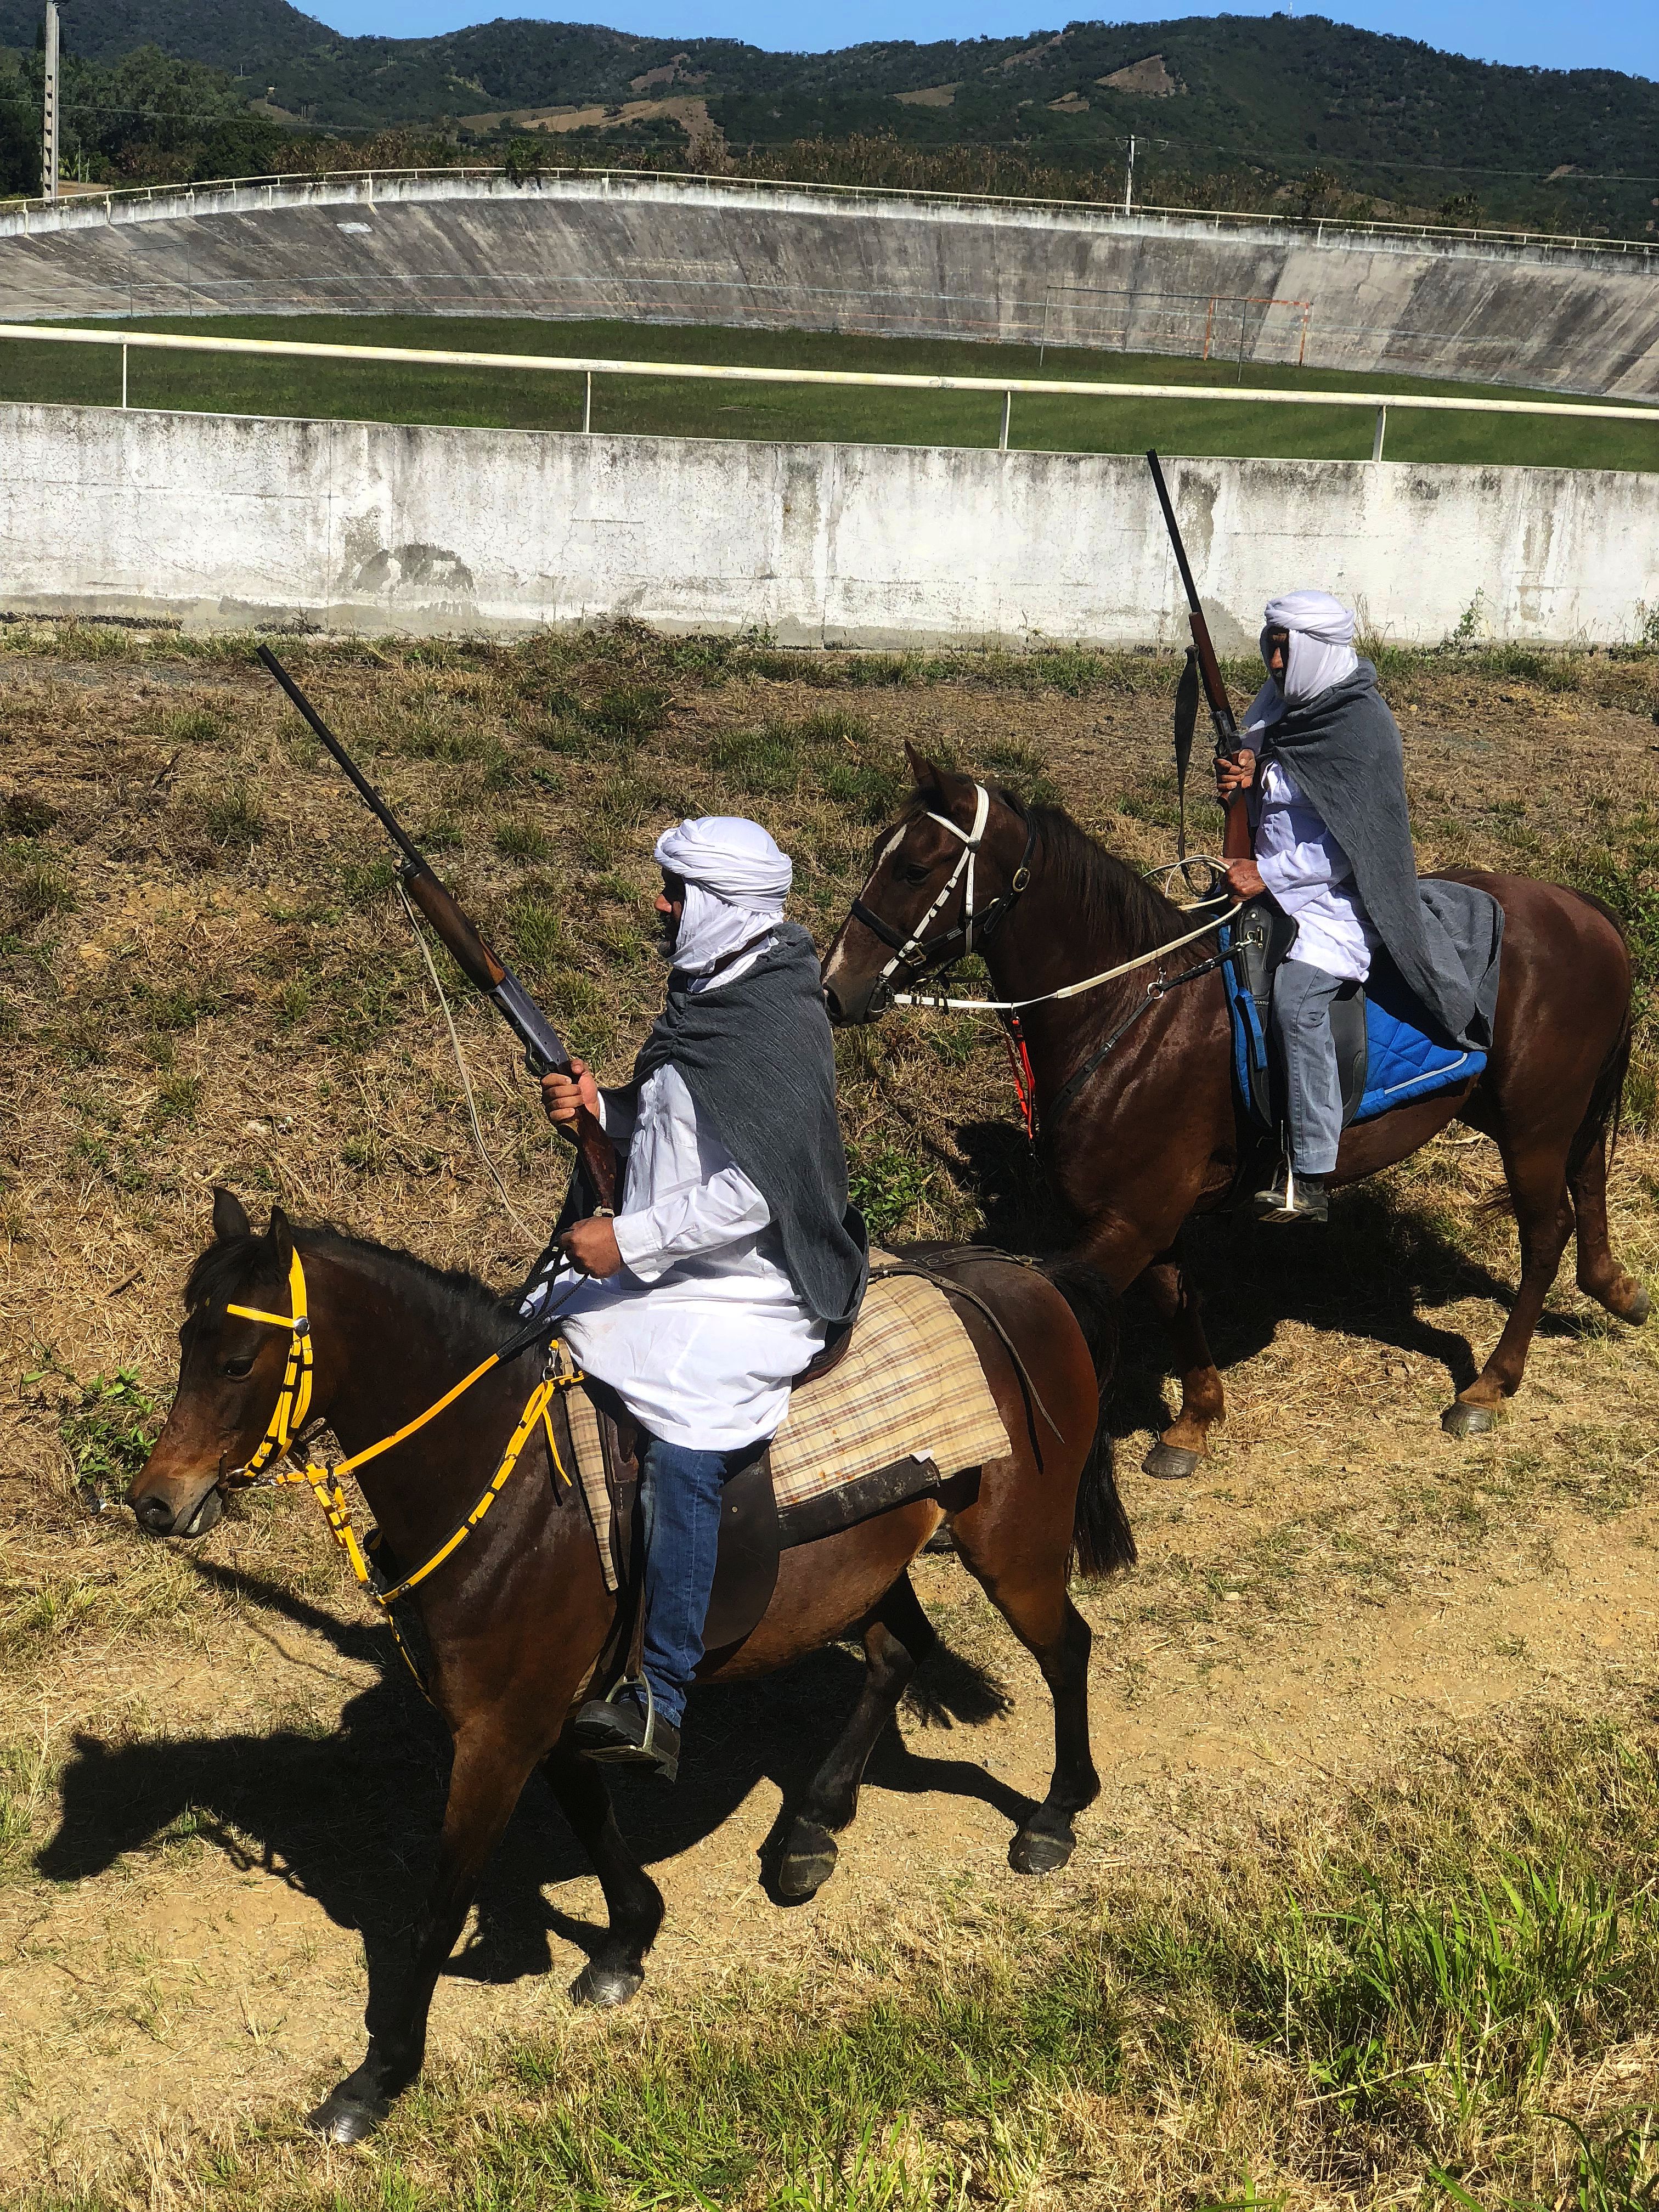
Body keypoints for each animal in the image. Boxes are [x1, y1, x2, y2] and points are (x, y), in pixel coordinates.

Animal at [123, 1194, 1141, 2141]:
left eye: (237, 1362)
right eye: (183, 1344)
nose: (155, 1501)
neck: (513, 1488)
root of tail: (1014, 1275)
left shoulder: (495, 1733)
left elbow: (440, 1903)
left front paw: (378, 2076)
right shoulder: (540, 1712)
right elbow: (587, 1813)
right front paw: (627, 1942)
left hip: (1013, 1544)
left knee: (1065, 1650)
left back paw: (1054, 1815)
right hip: (873, 1562)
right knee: (897, 1653)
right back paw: (811, 1828)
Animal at [822, 752, 1654, 1477]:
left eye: (914, 868)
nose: (834, 987)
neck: (1130, 1010)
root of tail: (1585, 909)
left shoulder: (1130, 1220)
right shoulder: (1141, 1212)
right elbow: (1173, 1299)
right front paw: (1197, 1417)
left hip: (1533, 1123)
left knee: (1546, 1233)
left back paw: (1491, 1385)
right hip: (1542, 1111)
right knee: (1589, 1180)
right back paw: (1614, 1288)